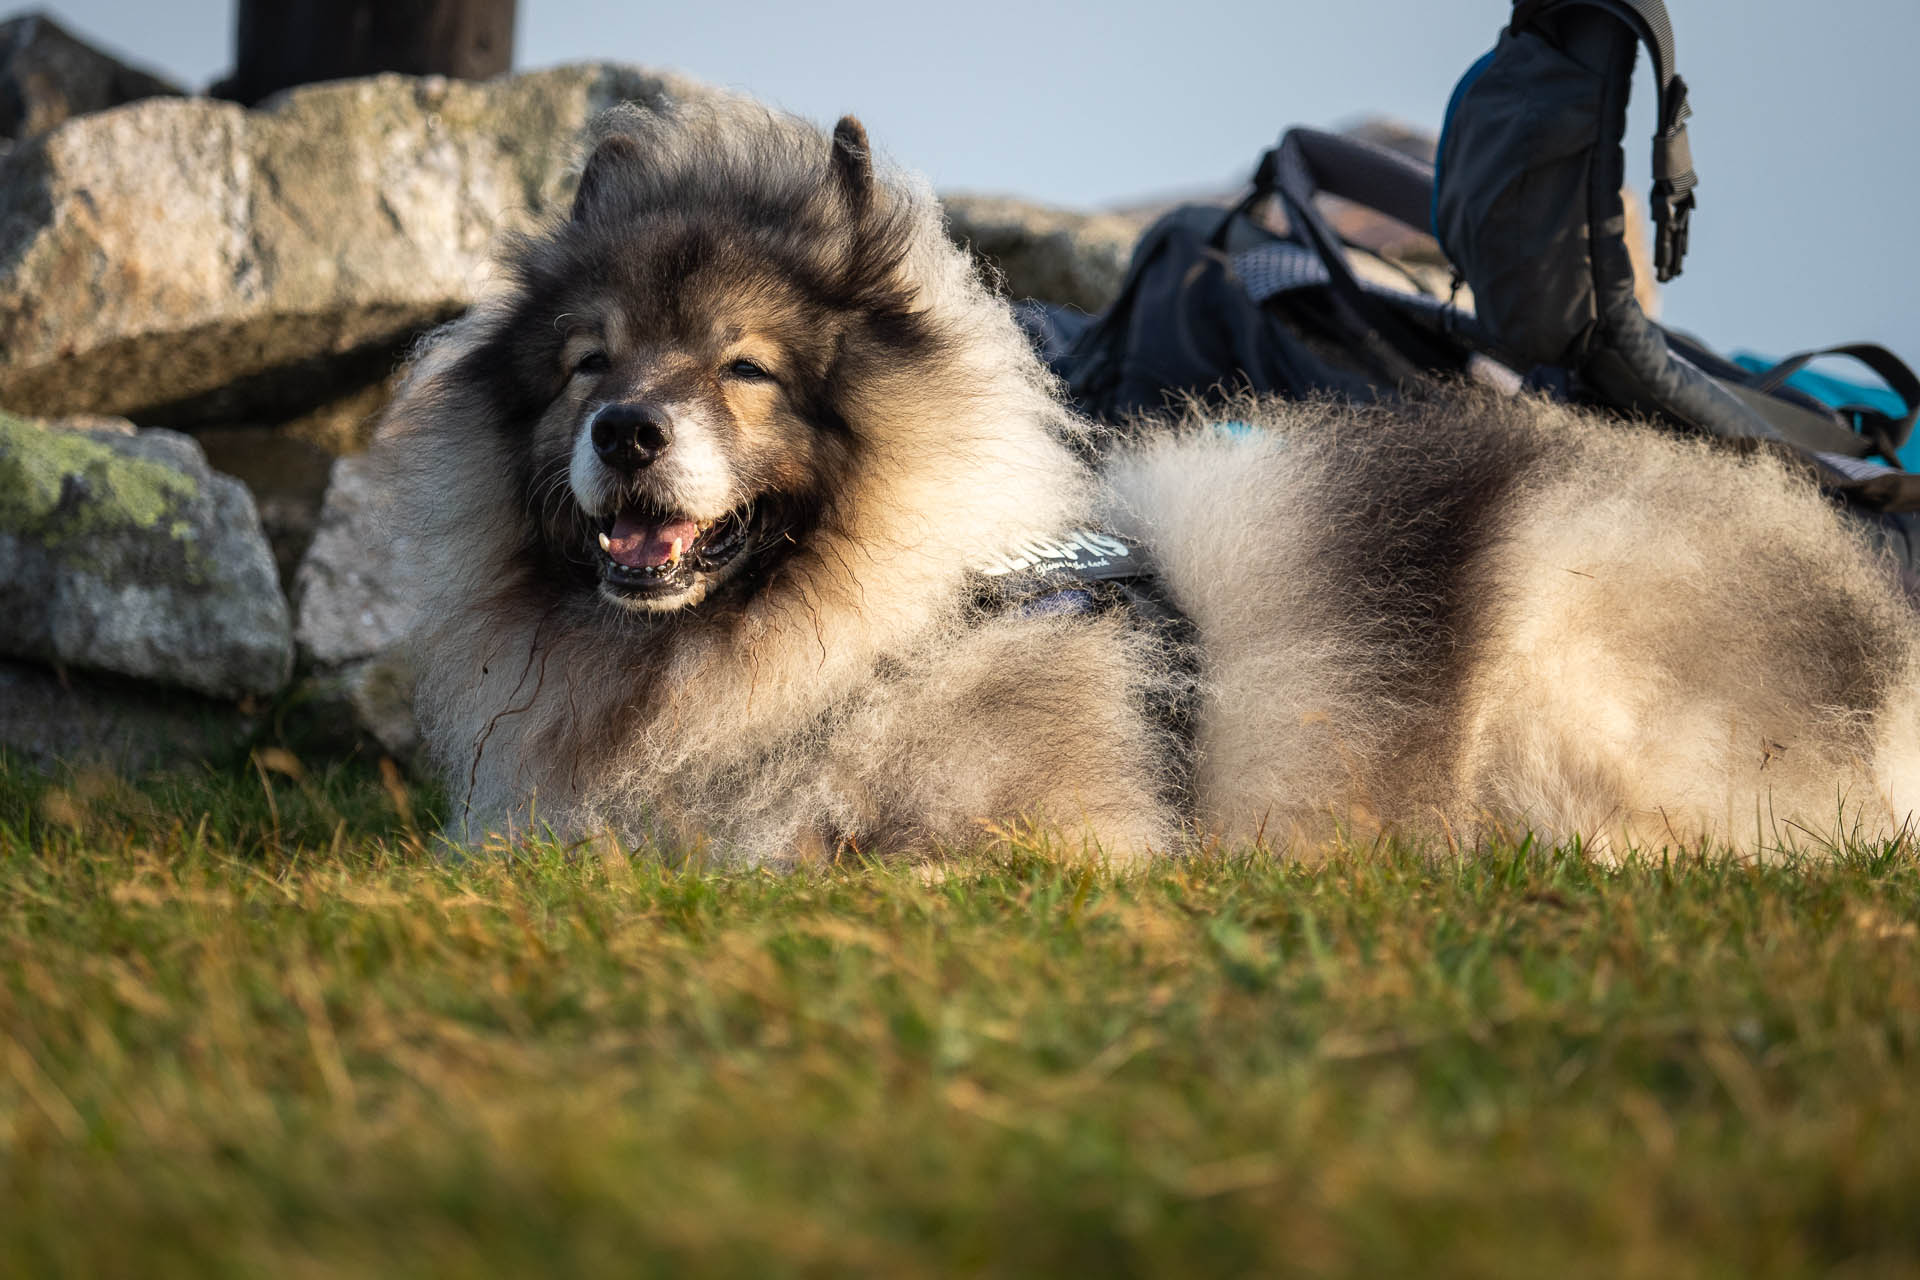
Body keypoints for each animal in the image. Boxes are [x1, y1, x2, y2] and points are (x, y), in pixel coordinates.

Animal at [382, 97, 1920, 859]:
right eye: (588, 364)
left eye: (745, 369)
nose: (628, 432)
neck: (879, 629)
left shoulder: (1052, 839)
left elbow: (838, 849)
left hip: (1566, 638)